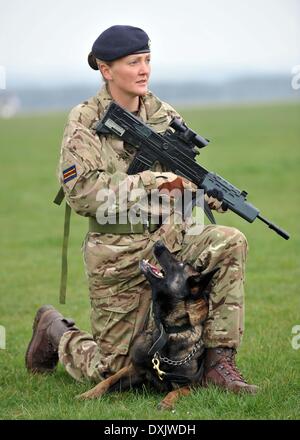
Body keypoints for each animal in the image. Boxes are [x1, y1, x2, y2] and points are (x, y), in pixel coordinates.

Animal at [77, 241, 218, 410]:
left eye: (182, 264)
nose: (159, 242)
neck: (167, 331)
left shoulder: (193, 385)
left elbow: (176, 392)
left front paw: (166, 402)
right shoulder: (134, 369)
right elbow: (108, 380)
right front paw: (88, 394)